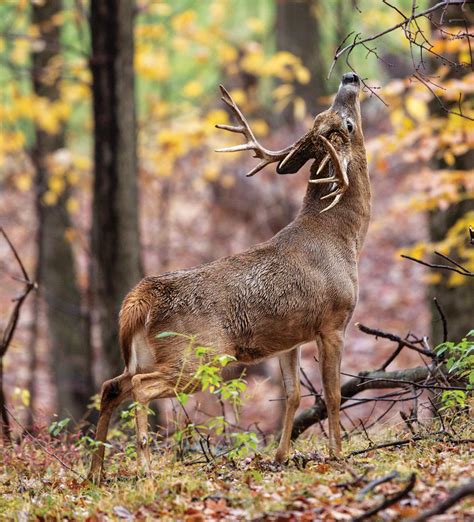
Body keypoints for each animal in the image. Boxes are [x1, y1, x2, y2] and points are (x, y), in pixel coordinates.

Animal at [89, 71, 370, 482]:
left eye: (327, 113)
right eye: (347, 124)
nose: (350, 77)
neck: (342, 238)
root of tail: (139, 298)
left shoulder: (289, 338)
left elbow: (293, 395)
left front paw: (281, 456)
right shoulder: (334, 321)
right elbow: (332, 394)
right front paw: (337, 453)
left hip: (143, 355)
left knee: (111, 385)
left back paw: (95, 471)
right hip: (196, 355)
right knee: (139, 387)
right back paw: (145, 465)